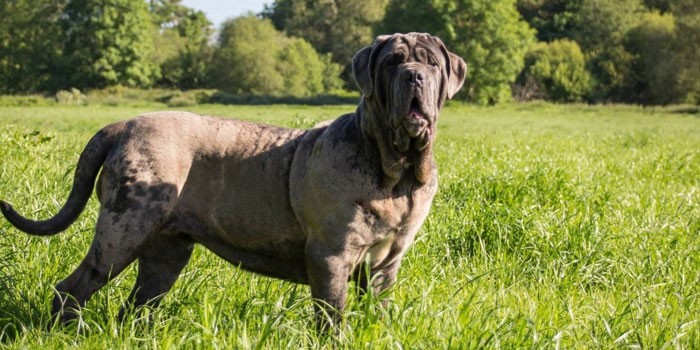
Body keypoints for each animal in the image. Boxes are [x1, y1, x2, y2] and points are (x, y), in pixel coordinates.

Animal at [4, 32, 470, 328]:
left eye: (431, 63)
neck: (394, 172)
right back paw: (68, 331)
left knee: (136, 305)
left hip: (166, 252)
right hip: (123, 230)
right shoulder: (331, 257)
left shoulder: (385, 263)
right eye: (392, 62)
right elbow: (332, 318)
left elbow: (376, 309)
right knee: (74, 287)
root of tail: (123, 124)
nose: (414, 75)